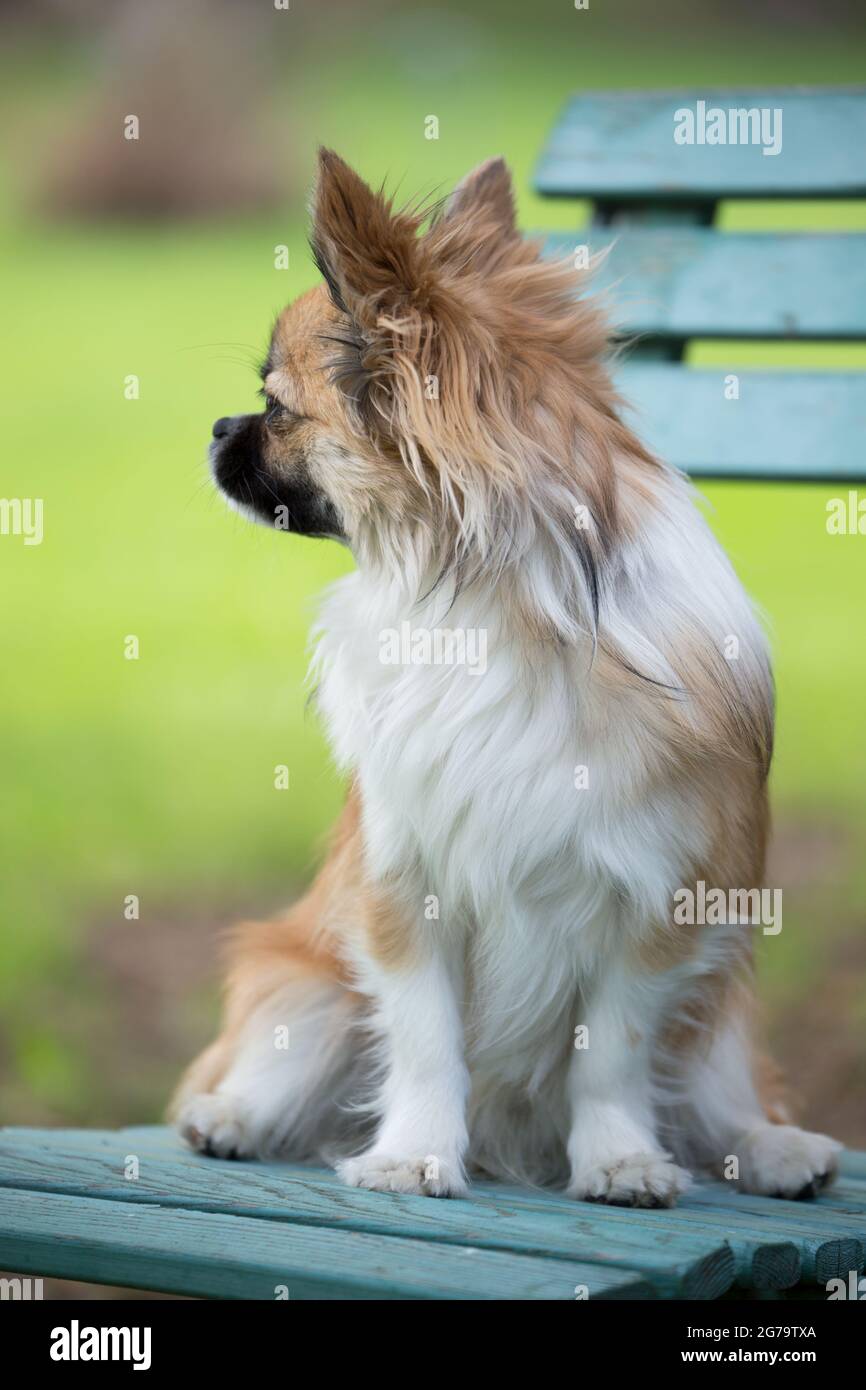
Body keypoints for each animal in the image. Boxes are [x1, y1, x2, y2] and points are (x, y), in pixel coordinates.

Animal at [170, 146, 839, 1200]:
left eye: (276, 410)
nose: (213, 425)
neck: (492, 612)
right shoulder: (401, 888)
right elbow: (425, 1038)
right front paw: (413, 1155)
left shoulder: (659, 908)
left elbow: (612, 1053)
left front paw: (618, 1160)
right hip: (308, 988)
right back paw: (230, 1119)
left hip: (720, 1005)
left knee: (715, 1096)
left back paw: (772, 1149)